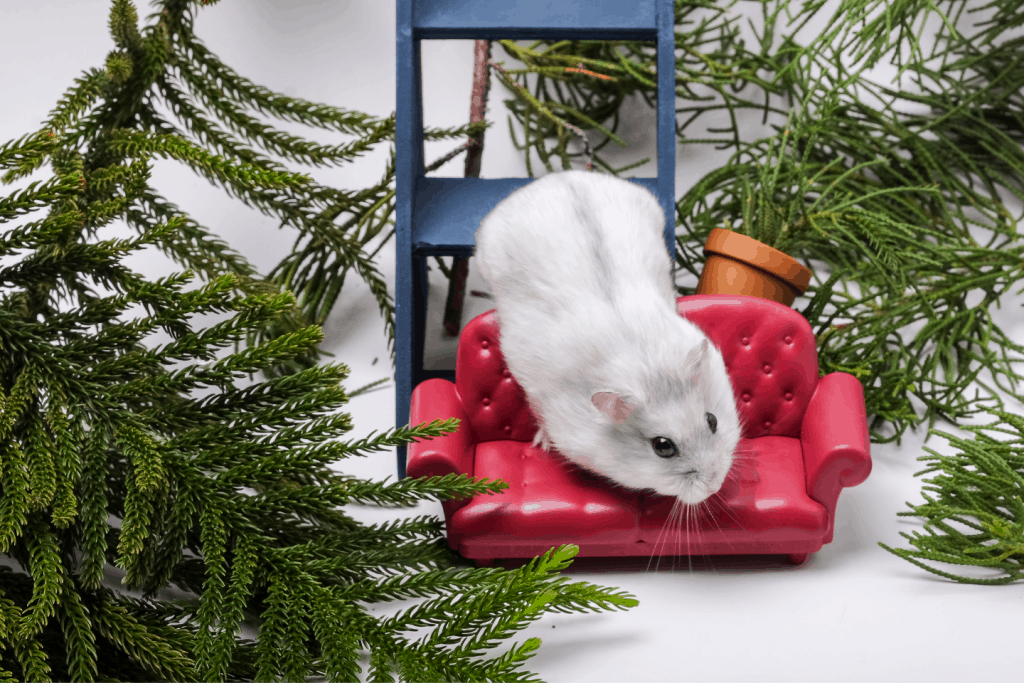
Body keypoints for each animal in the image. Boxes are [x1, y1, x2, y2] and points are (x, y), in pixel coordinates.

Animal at [471, 169, 745, 507]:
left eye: (712, 421)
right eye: (663, 447)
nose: (714, 485)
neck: (643, 364)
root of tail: (558, 176)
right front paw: (543, 444)